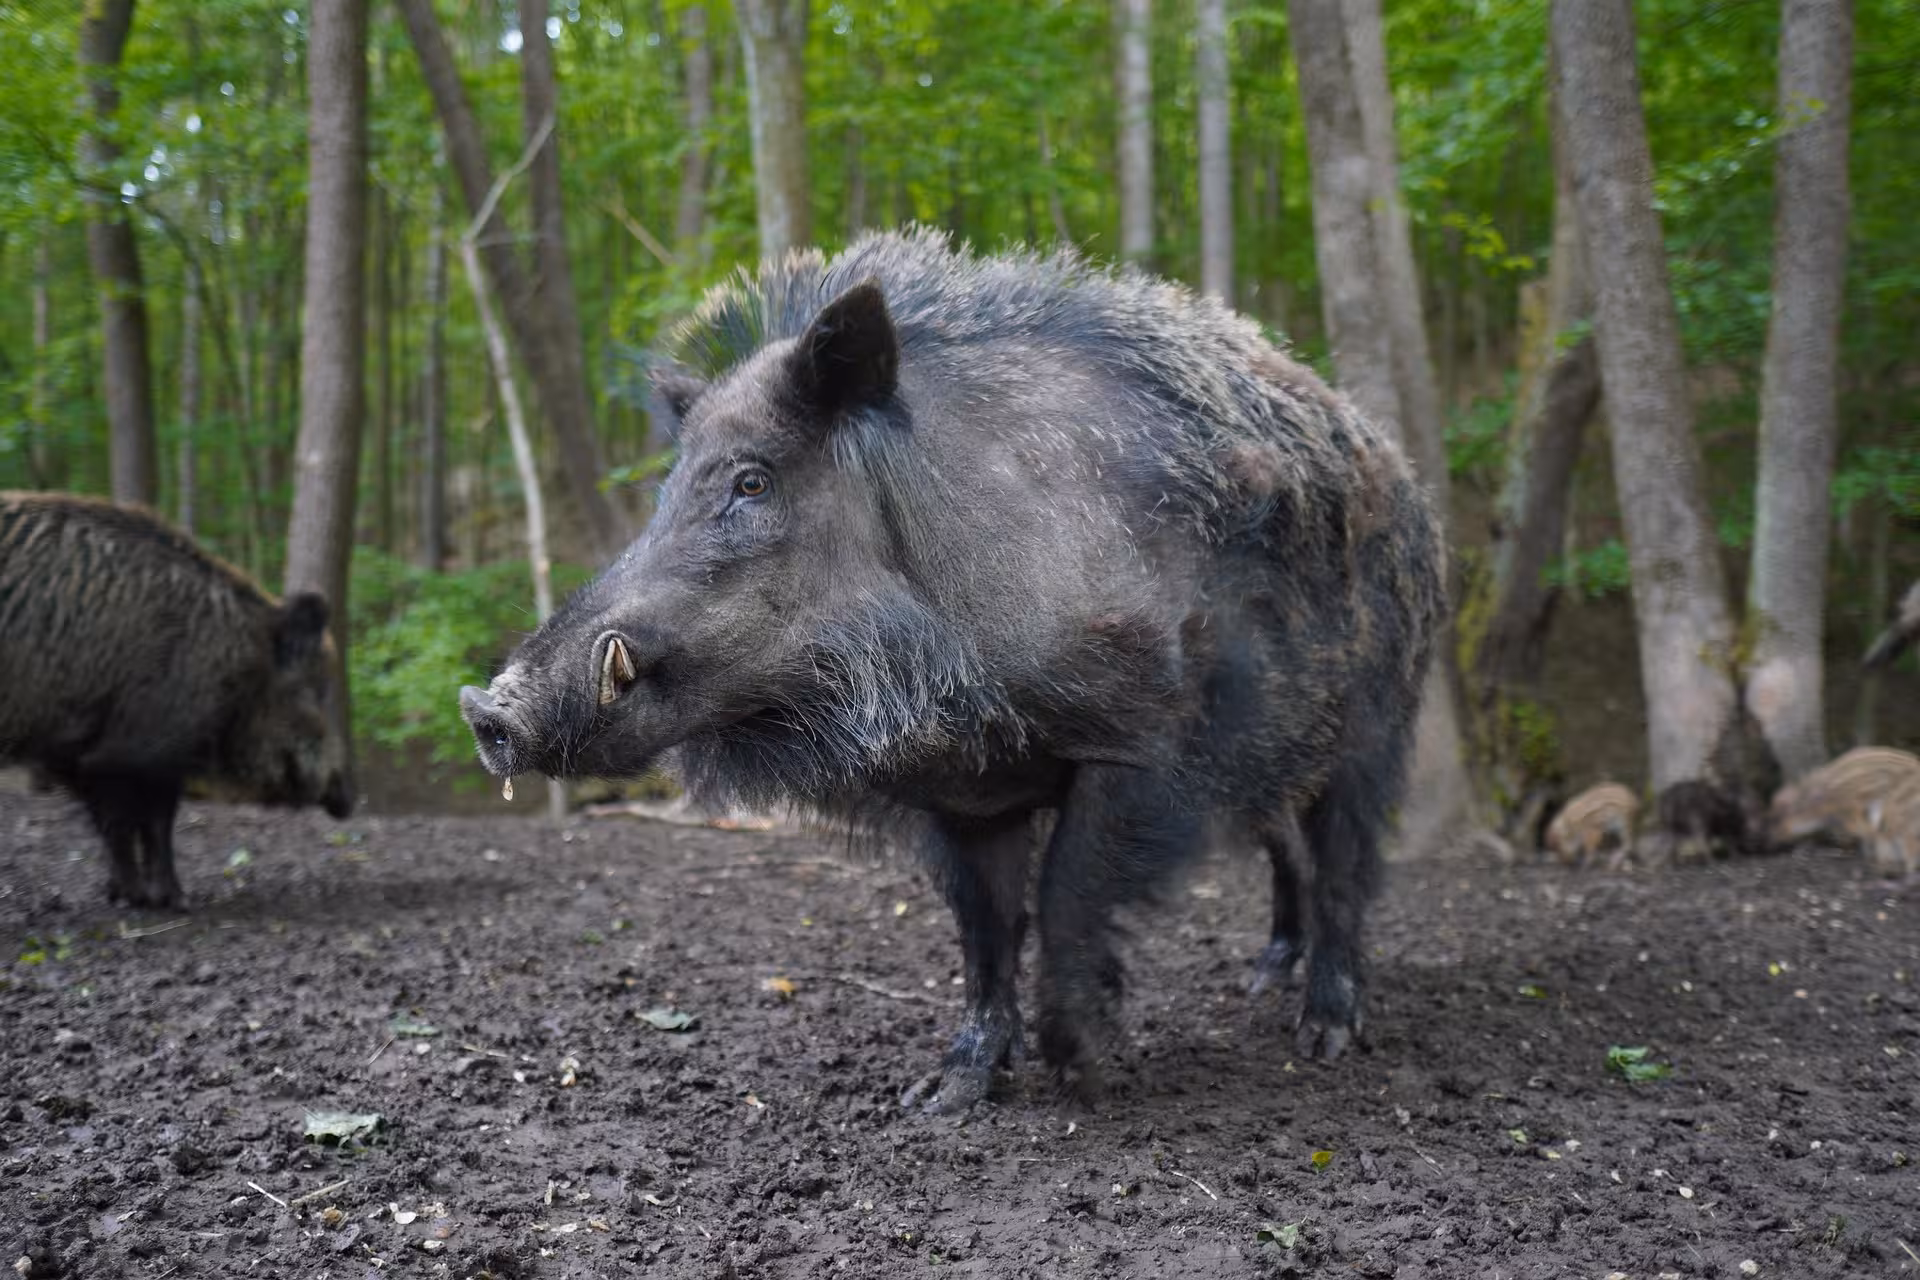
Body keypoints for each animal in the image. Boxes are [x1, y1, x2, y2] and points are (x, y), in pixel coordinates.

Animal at [0, 492, 353, 907]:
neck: (238, 664)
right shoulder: (132, 752)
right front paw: (156, 899)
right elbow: (142, 825)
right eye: (316, 691)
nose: (350, 798)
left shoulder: (88, 755)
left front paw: (136, 895)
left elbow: (131, 825)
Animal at [461, 229, 1445, 1109]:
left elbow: (1066, 894)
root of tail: (1406, 482)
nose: (486, 708)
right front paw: (943, 1094)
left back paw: (1323, 1037)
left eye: (751, 482)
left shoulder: (1145, 743)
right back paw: (1260, 983)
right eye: (664, 493)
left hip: (1380, 719)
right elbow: (983, 931)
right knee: (1289, 854)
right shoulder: (966, 798)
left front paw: (1083, 1071)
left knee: (1347, 863)